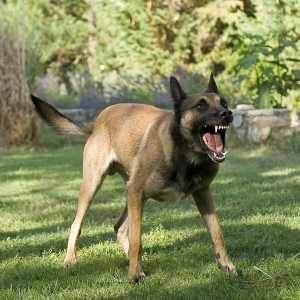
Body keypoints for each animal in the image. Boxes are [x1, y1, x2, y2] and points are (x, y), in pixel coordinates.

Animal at [31, 74, 237, 282]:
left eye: (224, 103)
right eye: (200, 105)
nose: (227, 113)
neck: (184, 154)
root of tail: (97, 122)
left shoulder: (203, 194)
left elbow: (217, 233)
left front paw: (226, 265)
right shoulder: (137, 193)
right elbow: (137, 238)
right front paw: (135, 274)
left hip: (131, 194)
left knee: (119, 227)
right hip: (95, 186)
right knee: (77, 224)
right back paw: (71, 259)